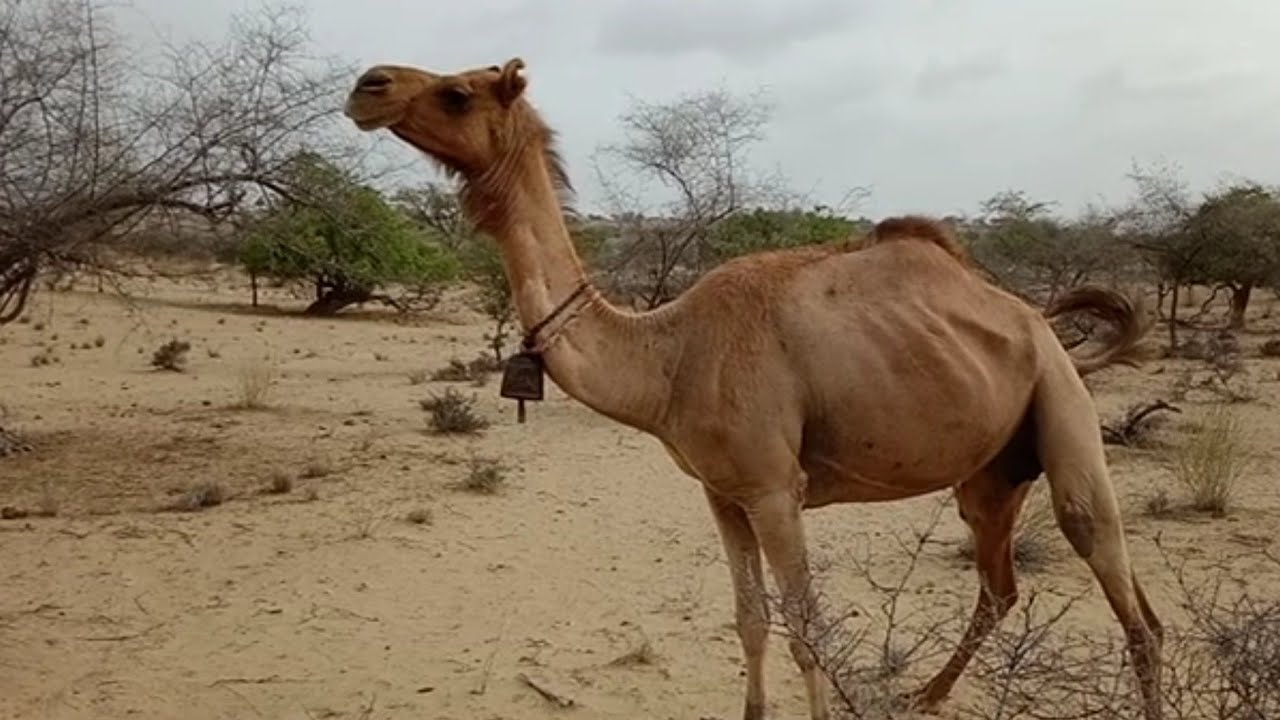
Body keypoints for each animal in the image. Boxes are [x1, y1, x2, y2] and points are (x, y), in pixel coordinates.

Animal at [342, 58, 1164, 720]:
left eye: (456, 93)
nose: (368, 84)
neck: (668, 357)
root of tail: (1041, 323)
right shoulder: (720, 490)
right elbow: (750, 621)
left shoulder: (774, 489)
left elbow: (805, 630)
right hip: (991, 471)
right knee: (1000, 585)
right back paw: (925, 695)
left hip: (1062, 407)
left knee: (1123, 590)